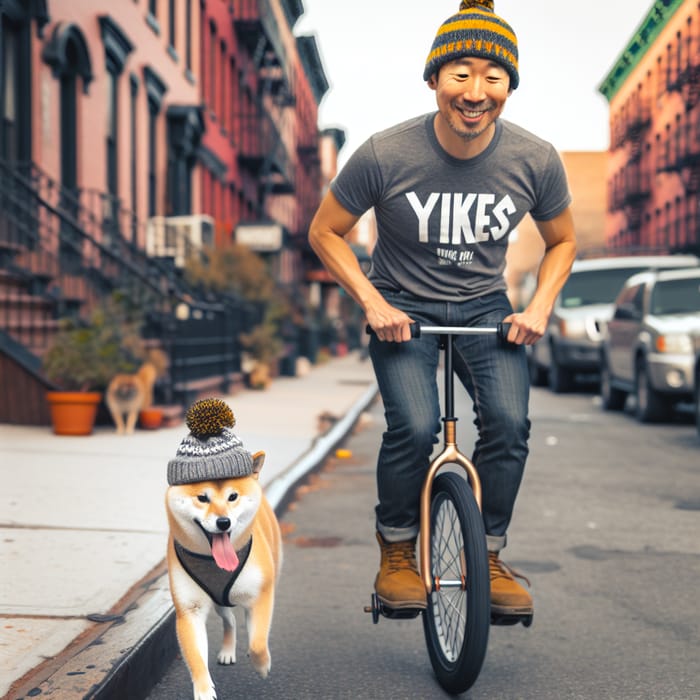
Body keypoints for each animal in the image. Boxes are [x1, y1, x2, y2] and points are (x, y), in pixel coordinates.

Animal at [165, 400, 284, 700]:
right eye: (202, 498)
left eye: (233, 497)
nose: (223, 522)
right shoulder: (190, 610)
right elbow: (196, 658)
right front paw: (204, 690)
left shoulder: (261, 595)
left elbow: (257, 642)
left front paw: (262, 665)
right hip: (218, 603)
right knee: (228, 618)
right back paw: (228, 649)